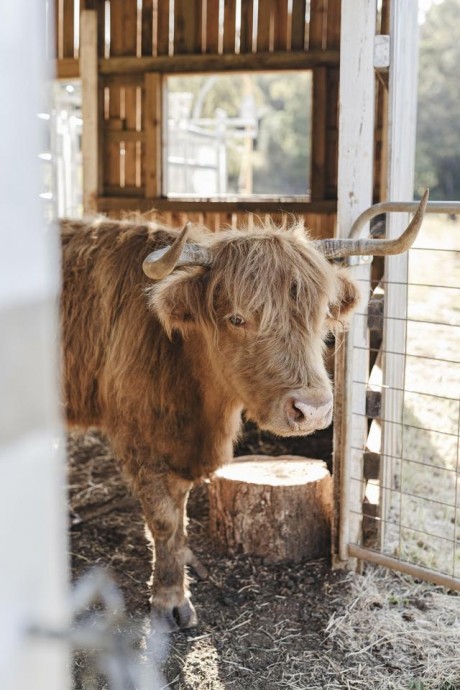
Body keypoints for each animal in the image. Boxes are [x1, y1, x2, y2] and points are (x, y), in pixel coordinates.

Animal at [61, 192, 428, 628]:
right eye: (237, 318)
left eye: (323, 315)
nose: (313, 410)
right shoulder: (138, 440)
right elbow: (164, 519)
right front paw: (170, 599)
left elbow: (179, 516)